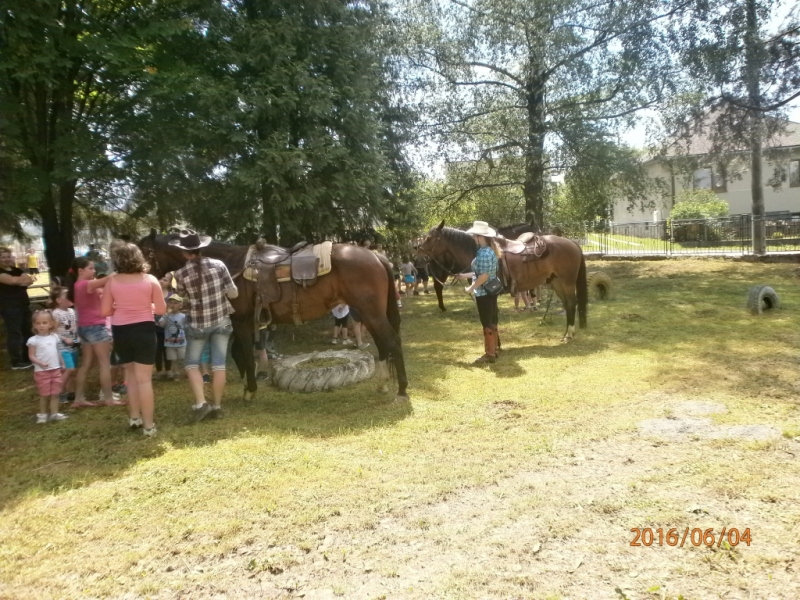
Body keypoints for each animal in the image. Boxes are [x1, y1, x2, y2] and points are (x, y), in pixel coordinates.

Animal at [138, 232, 410, 400]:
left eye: (146, 251)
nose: (142, 274)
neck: (230, 264)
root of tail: (376, 255)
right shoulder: (247, 322)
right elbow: (240, 353)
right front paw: (249, 385)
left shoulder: (241, 321)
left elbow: (246, 356)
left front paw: (250, 390)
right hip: (368, 313)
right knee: (383, 344)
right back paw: (384, 383)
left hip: (371, 312)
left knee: (392, 342)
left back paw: (402, 390)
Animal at [418, 220, 588, 342]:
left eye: (429, 238)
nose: (417, 253)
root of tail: (573, 243)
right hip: (557, 282)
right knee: (567, 304)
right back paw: (567, 333)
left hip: (567, 282)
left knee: (571, 303)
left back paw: (569, 334)